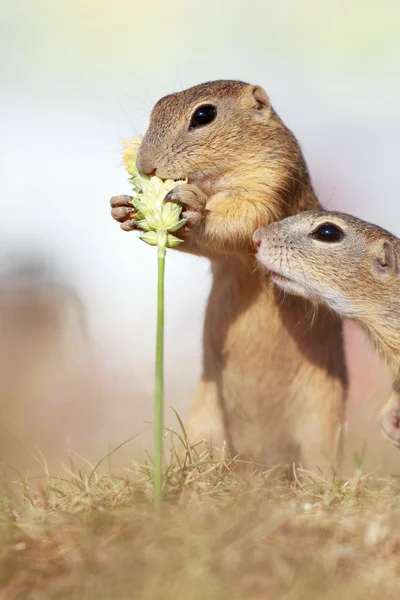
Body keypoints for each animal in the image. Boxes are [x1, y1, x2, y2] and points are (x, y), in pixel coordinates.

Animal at [111, 81, 346, 474]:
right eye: (156, 108)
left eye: (204, 115)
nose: (145, 166)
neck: (216, 180)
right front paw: (123, 209)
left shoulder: (270, 182)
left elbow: (240, 221)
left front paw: (189, 203)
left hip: (323, 418)